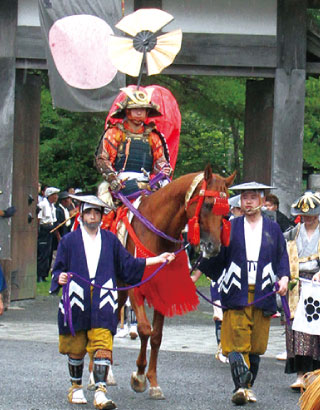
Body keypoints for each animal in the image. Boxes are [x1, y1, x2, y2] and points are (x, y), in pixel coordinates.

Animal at [115, 164, 235, 400]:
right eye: (208, 204)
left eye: (225, 211)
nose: (213, 247)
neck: (157, 230)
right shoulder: (136, 288)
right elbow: (144, 329)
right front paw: (139, 377)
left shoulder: (163, 290)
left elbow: (156, 336)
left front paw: (152, 381)